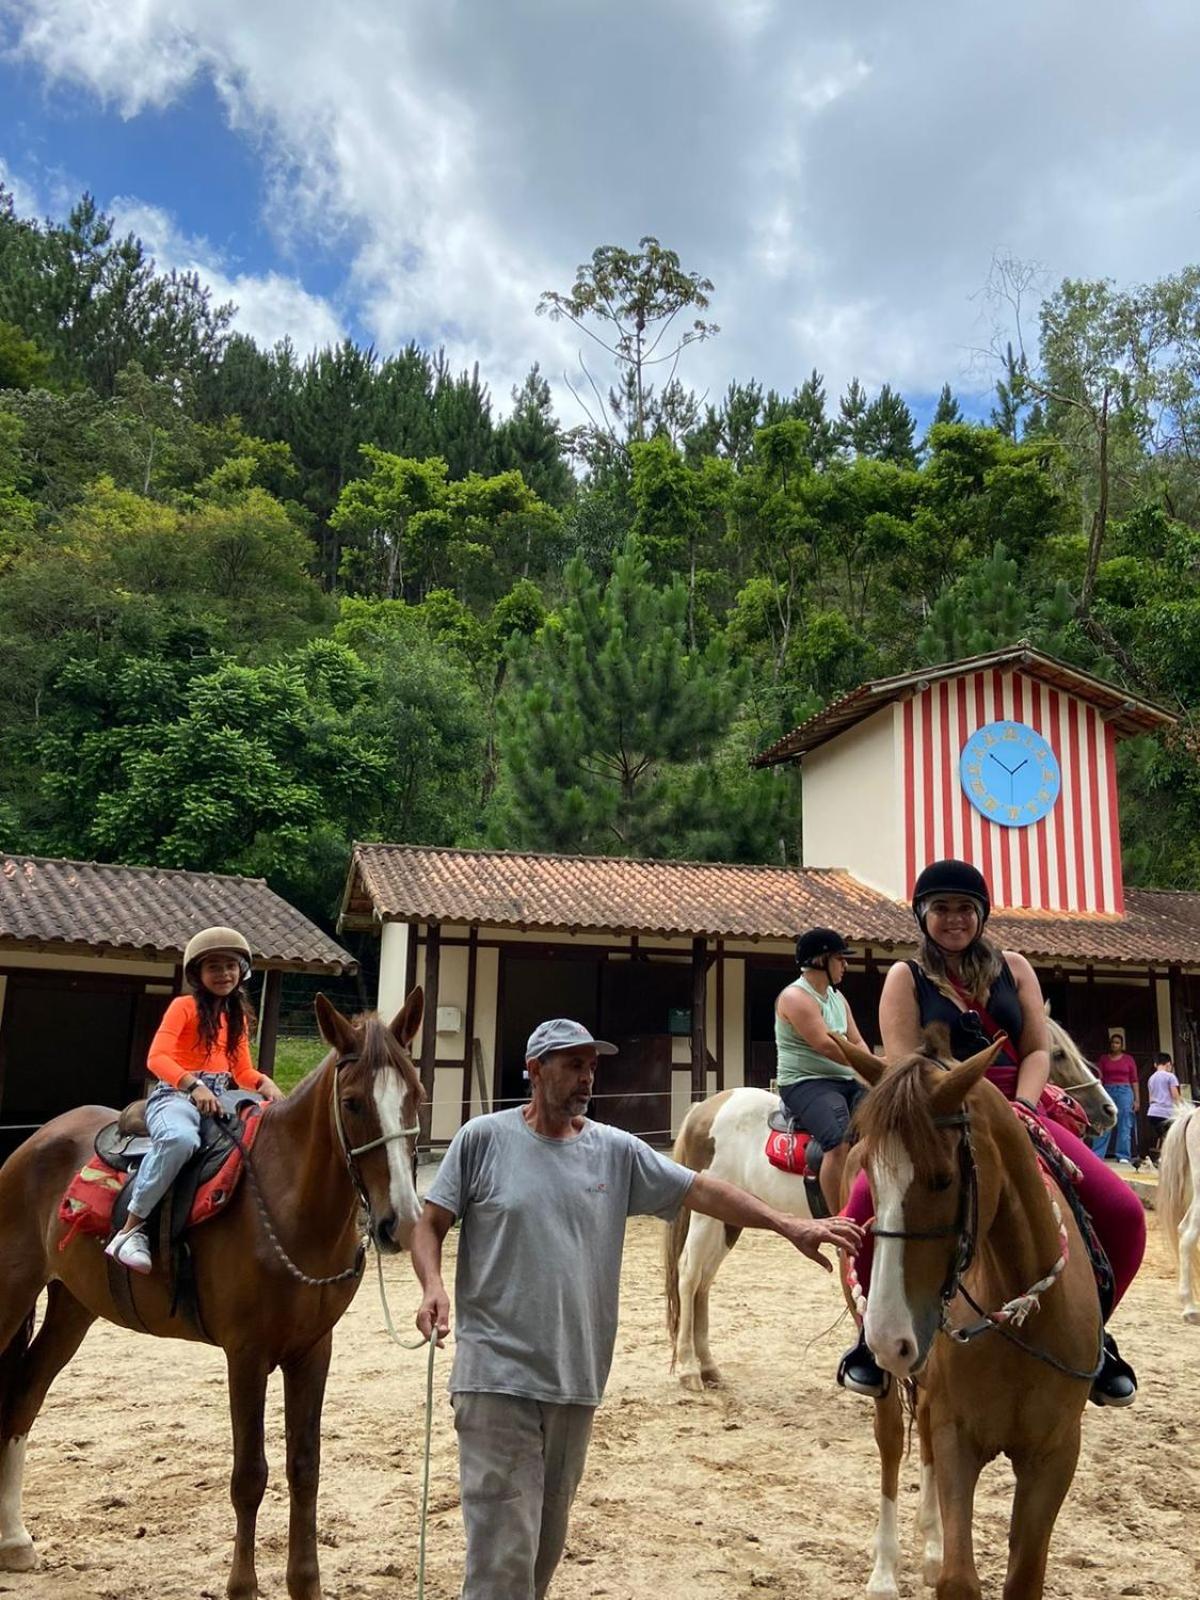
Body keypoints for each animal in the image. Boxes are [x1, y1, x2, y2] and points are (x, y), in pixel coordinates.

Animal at [0, 985, 428, 1600]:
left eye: (415, 1096)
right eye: (351, 1103)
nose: (401, 1222)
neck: (287, 1205)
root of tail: (32, 1143)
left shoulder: (312, 1351)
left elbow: (305, 1466)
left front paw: (305, 1583)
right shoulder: (246, 1355)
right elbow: (250, 1476)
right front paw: (242, 1586)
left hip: (71, 1308)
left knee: (25, 1398)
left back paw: (14, 1541)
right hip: (11, 1292)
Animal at [668, 1017, 1107, 1395]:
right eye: (1058, 1054)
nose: (1109, 1109)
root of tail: (704, 1109)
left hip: (729, 1216)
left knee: (704, 1279)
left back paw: (709, 1367)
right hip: (706, 1214)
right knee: (689, 1274)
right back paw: (689, 1369)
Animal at [838, 1036, 1107, 1600]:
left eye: (943, 1180)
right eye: (870, 1175)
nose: (890, 1338)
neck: (1022, 1322)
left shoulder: (1054, 1454)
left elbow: (1024, 1576)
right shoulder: (959, 1435)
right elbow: (958, 1579)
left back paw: (929, 1547)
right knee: (892, 1439)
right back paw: (885, 1571)